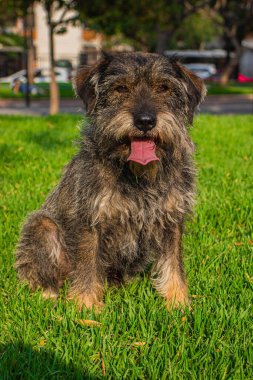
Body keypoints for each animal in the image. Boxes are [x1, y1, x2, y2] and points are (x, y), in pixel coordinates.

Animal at [14, 52, 206, 310]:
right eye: (121, 88)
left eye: (164, 88)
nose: (145, 121)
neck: (138, 175)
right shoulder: (90, 221)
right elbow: (87, 267)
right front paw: (85, 306)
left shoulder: (171, 220)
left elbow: (174, 264)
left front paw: (178, 302)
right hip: (42, 226)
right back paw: (49, 296)